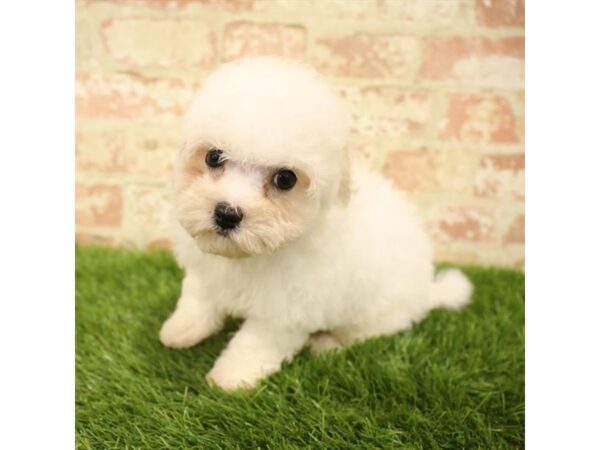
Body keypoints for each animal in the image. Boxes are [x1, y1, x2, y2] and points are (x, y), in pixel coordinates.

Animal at [161, 57, 474, 390]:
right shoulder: (206, 270)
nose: (226, 214)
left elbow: (255, 344)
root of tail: (427, 291)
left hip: (375, 314)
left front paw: (230, 378)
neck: (253, 255)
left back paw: (325, 344)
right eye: (214, 156)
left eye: (285, 179)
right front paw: (181, 329)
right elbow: (197, 297)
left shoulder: (287, 309)